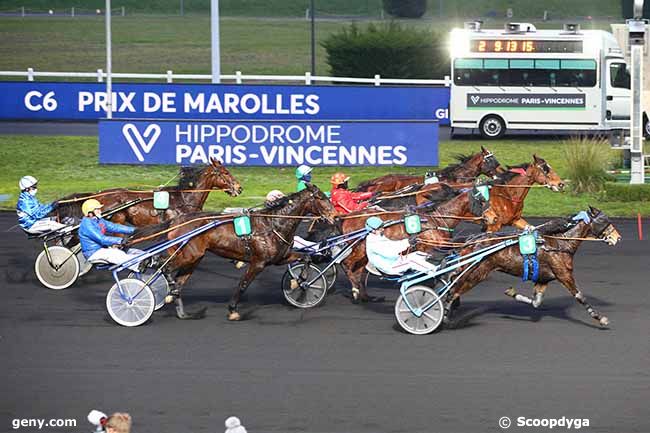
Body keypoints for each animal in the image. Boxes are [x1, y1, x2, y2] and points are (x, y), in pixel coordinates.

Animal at [126, 182, 334, 320]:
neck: (273, 223)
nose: (334, 214)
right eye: (321, 198)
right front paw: (233, 309)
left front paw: (299, 281)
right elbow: (243, 284)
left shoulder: (280, 257)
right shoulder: (258, 262)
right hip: (189, 254)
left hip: (193, 257)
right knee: (166, 268)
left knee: (173, 274)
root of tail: (177, 220)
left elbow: (306, 258)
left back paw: (178, 305)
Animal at [446, 208, 616, 326]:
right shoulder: (564, 275)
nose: (617, 237)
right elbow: (580, 296)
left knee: (453, 282)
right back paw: (446, 315)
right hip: (477, 273)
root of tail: (471, 240)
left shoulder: (543, 279)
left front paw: (512, 292)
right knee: (453, 291)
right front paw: (601, 319)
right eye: (605, 221)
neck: (560, 244)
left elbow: (536, 302)